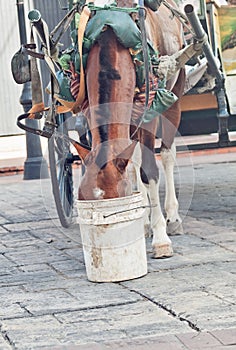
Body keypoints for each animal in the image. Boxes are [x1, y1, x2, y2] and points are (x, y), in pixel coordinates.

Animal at [73, 0, 185, 258]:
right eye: (82, 198)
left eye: (116, 202)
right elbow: (133, 164)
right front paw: (143, 221)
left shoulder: (149, 113)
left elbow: (149, 171)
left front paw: (161, 238)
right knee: (133, 161)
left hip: (175, 92)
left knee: (167, 155)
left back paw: (173, 217)